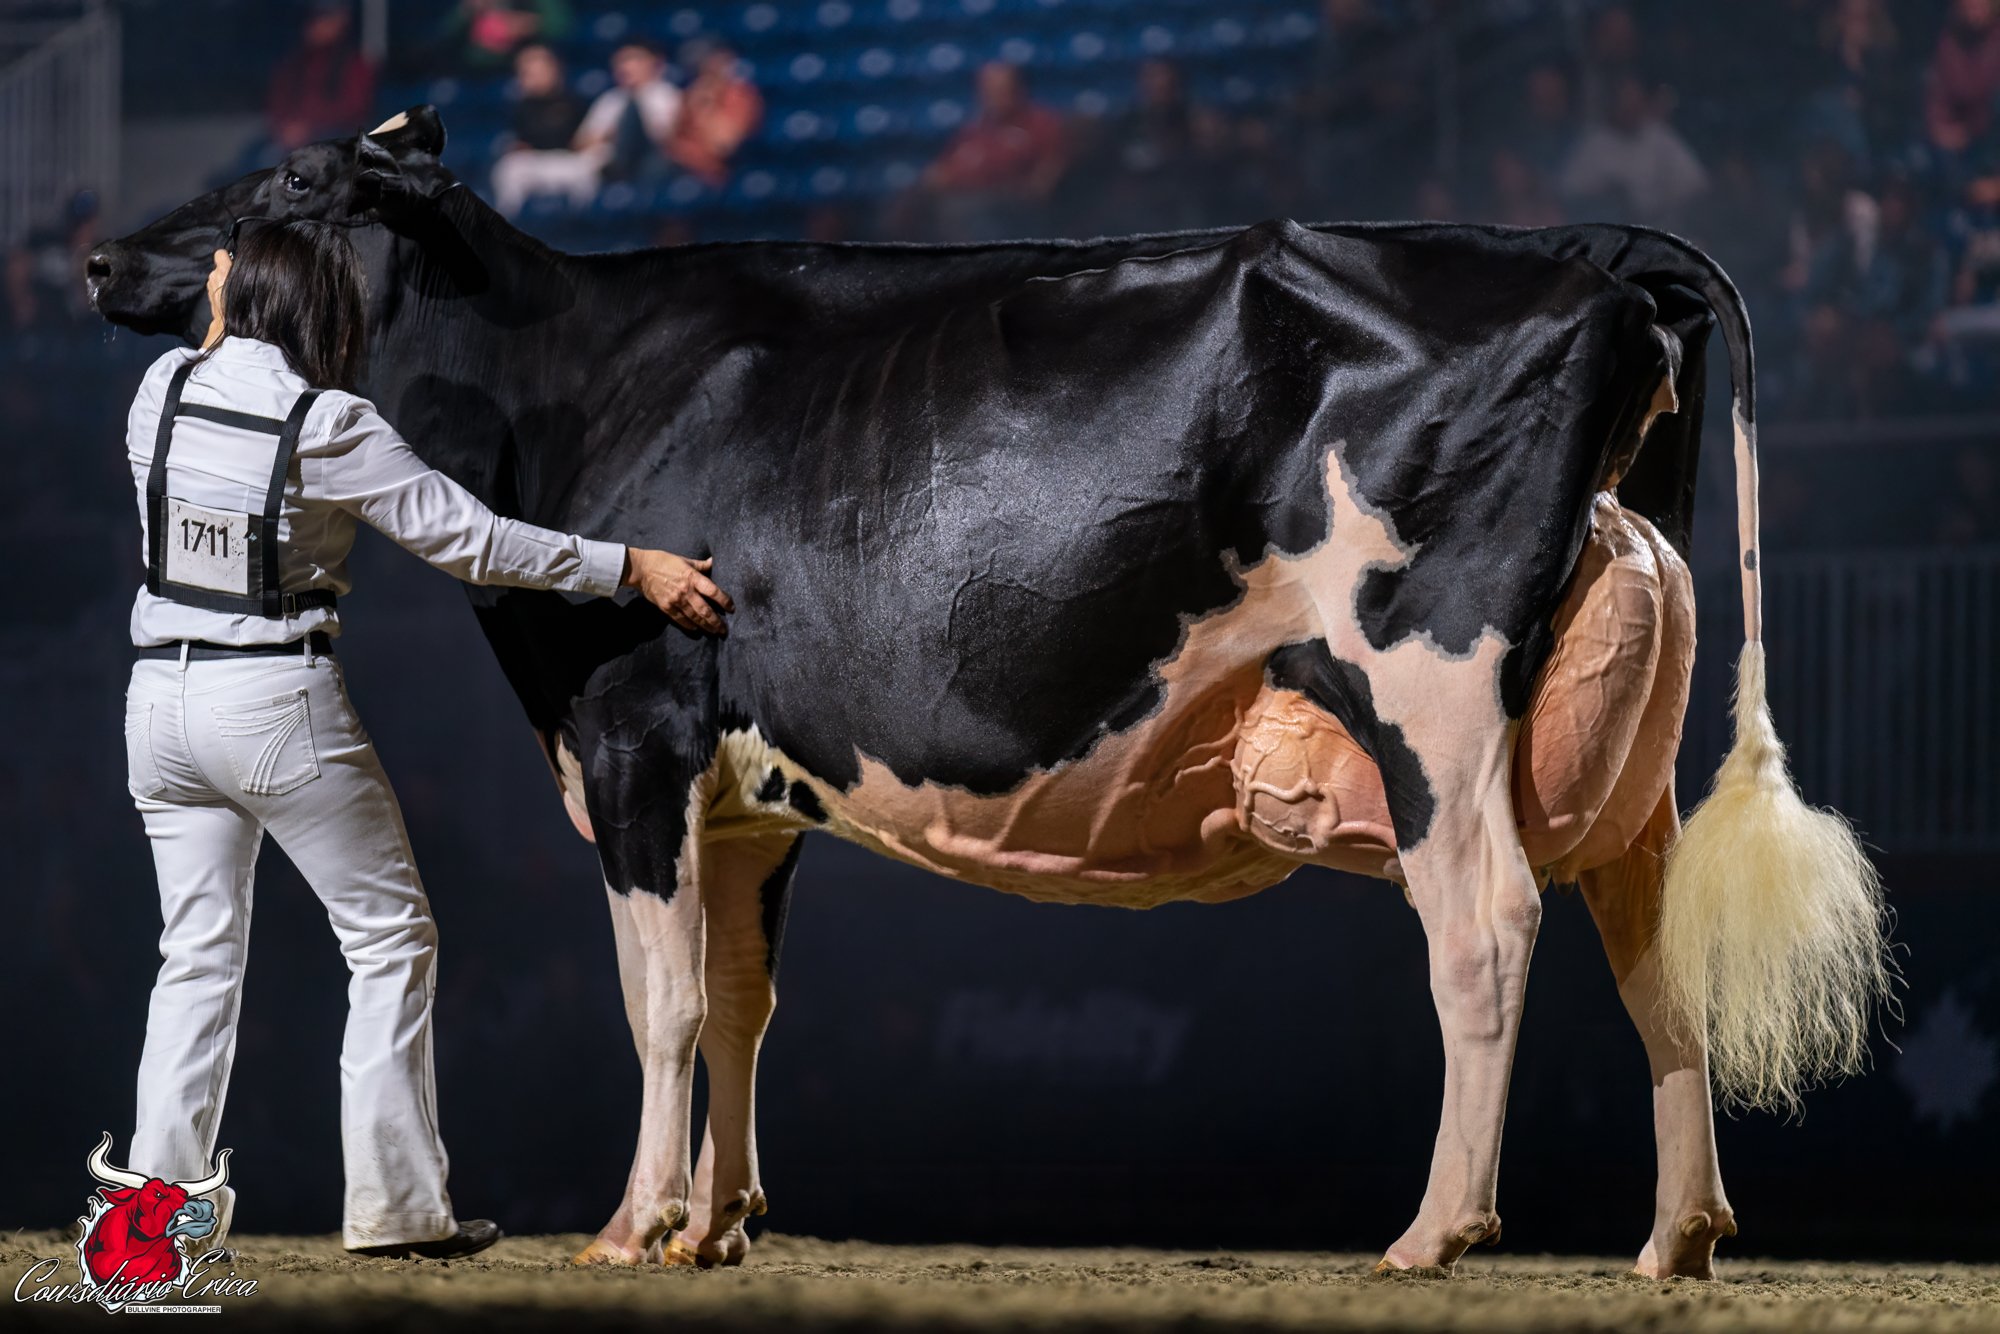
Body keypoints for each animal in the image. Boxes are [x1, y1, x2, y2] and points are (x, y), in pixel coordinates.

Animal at [89, 107, 1890, 1279]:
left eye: (296, 178)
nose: (102, 248)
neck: (564, 386)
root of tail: (1590, 261)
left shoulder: (636, 738)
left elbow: (656, 998)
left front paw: (633, 1222)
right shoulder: (751, 789)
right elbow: (739, 998)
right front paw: (719, 1224)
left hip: (1433, 684)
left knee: (1490, 926)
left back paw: (1437, 1229)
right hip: (1610, 729)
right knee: (1652, 942)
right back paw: (1676, 1238)